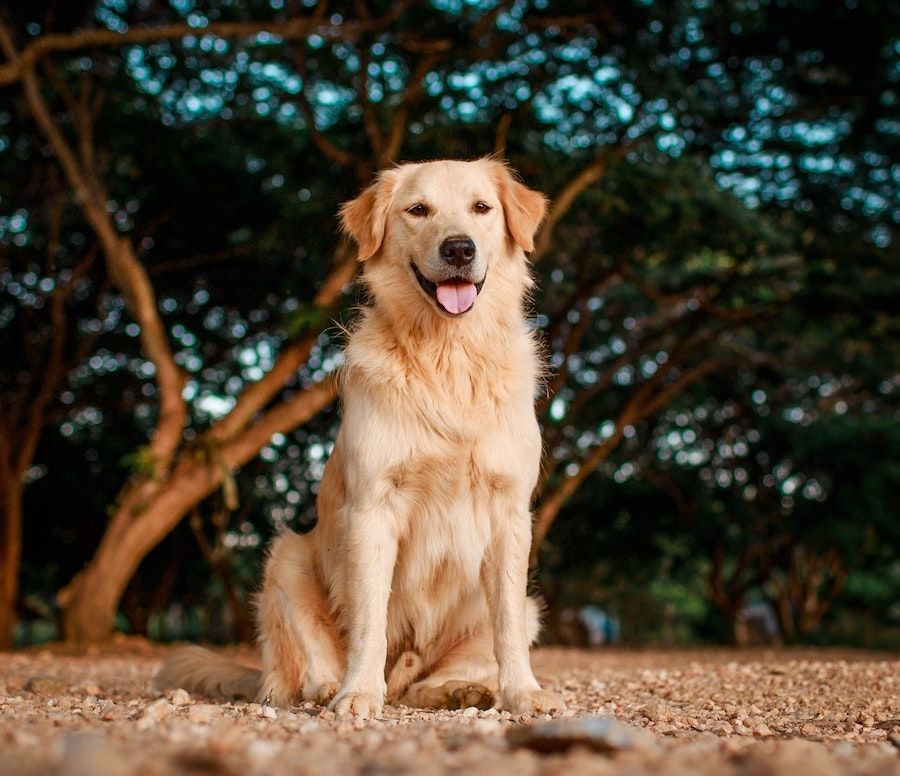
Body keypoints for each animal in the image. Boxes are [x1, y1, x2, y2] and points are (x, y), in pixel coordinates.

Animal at [155, 158, 564, 720]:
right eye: (418, 209)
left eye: (482, 208)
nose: (459, 248)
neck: (448, 355)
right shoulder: (373, 508)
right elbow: (369, 619)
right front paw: (358, 695)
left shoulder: (509, 513)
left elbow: (507, 630)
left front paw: (523, 692)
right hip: (286, 559)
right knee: (297, 675)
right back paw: (329, 688)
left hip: (526, 605)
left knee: (424, 681)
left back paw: (458, 690)